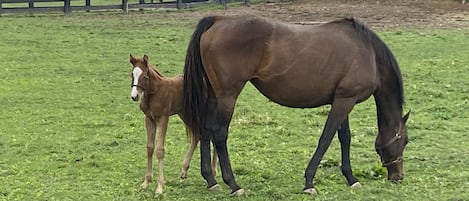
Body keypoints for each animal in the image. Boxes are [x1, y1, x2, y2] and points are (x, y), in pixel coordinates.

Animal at [183, 15, 410, 196]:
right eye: (405, 141)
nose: (398, 176)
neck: (367, 52)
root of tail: (218, 20)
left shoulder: (343, 99)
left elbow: (344, 137)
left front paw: (351, 178)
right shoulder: (345, 101)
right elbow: (326, 138)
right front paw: (309, 182)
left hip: (214, 95)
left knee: (206, 129)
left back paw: (211, 180)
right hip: (228, 96)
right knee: (220, 134)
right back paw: (233, 184)